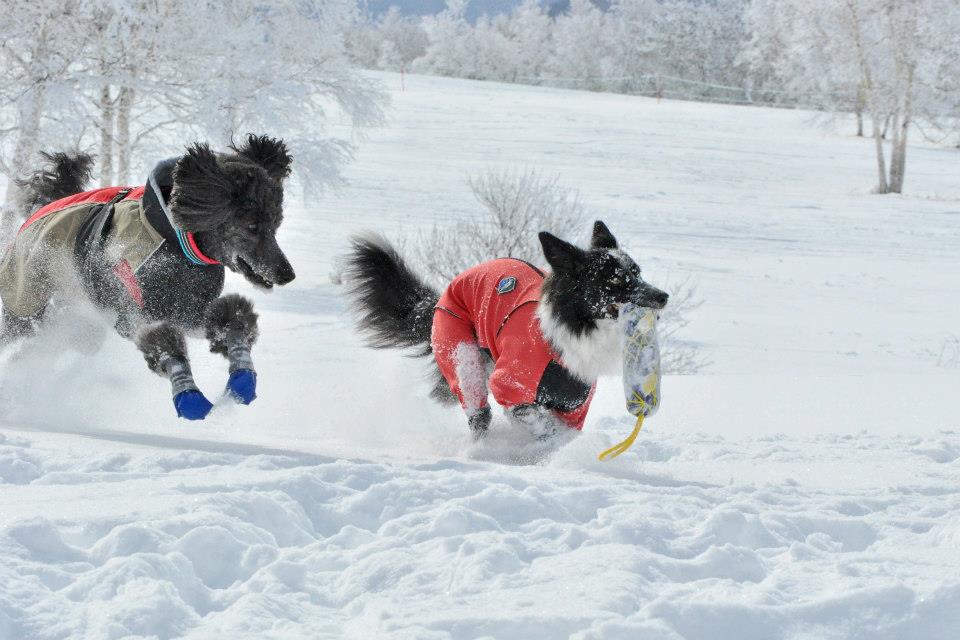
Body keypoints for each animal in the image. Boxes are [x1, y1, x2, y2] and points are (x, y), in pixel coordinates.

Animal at [0, 136, 296, 420]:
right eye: (251, 226)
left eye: (276, 223)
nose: (287, 274)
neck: (178, 244)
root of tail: (41, 210)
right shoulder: (136, 312)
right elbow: (164, 342)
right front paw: (189, 397)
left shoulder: (188, 310)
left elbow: (230, 318)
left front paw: (242, 378)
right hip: (26, 301)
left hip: (78, 323)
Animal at [344, 221, 668, 440]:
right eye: (614, 281)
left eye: (637, 273)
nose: (663, 296)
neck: (576, 324)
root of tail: (438, 299)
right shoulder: (510, 386)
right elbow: (542, 426)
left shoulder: (573, 403)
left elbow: (562, 433)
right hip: (463, 357)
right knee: (477, 412)